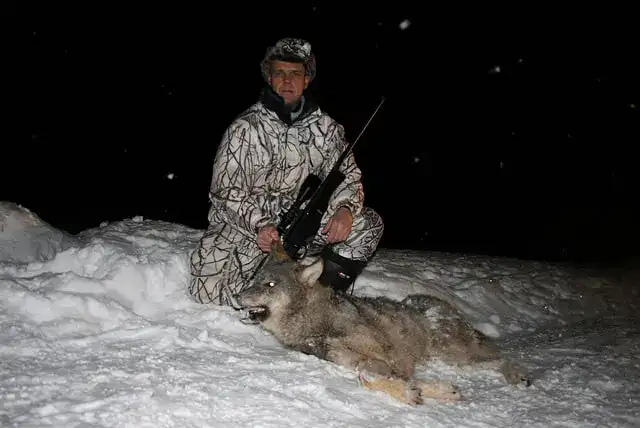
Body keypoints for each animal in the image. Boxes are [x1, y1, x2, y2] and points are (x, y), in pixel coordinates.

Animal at [232, 242, 533, 405]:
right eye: (255, 279)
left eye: (270, 285)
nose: (236, 296)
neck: (317, 324)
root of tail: (450, 308)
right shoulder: (358, 362)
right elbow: (377, 377)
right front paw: (422, 391)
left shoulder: (389, 357)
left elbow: (375, 377)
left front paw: (417, 391)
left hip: (453, 355)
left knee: (500, 358)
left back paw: (517, 376)